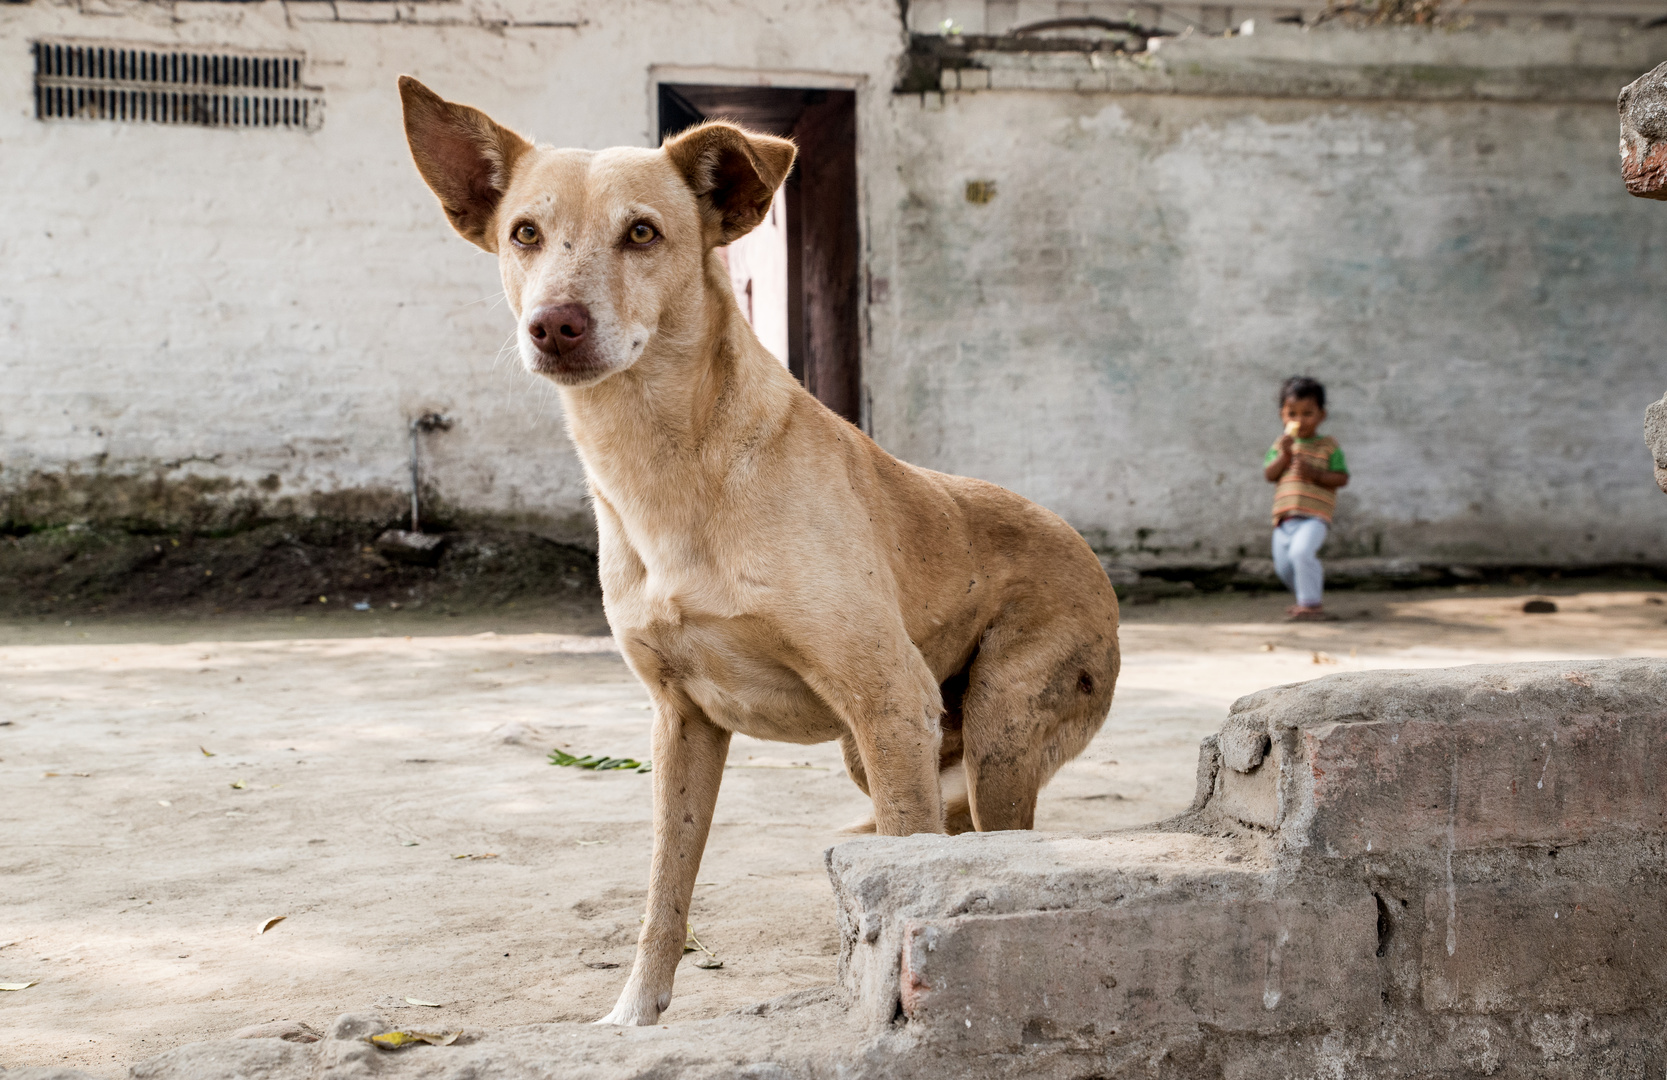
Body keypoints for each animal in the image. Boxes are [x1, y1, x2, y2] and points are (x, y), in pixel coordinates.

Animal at [395, 80, 1113, 1026]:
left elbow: (906, 866)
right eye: (523, 233)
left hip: (990, 731)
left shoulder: (889, 697)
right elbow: (665, 890)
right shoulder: (681, 722)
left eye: (642, 233)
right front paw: (636, 1014)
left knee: (981, 844)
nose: (554, 325)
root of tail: (1088, 551)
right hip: (884, 751)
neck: (672, 471)